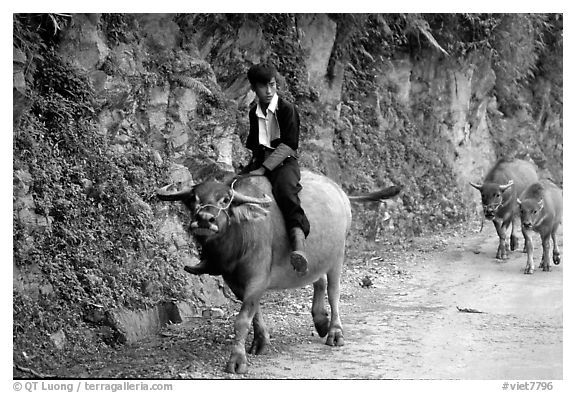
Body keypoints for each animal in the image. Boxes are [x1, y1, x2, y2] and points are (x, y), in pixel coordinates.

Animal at [156, 170, 400, 372]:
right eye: (193, 199)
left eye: (225, 199)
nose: (205, 219)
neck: (240, 236)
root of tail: (340, 193)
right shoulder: (233, 280)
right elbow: (254, 312)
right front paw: (261, 341)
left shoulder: (258, 277)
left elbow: (242, 319)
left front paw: (237, 361)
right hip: (318, 257)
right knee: (318, 280)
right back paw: (320, 320)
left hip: (338, 255)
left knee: (334, 292)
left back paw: (335, 332)